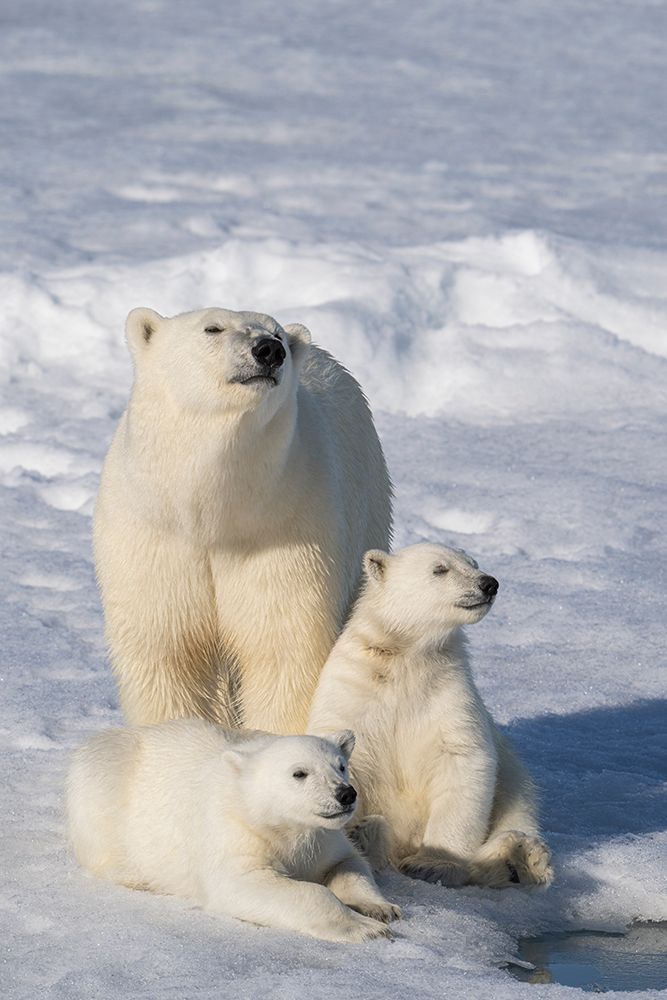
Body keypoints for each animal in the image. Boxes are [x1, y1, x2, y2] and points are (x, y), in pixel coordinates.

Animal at [66, 720, 401, 942]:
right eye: (299, 773)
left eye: (341, 765)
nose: (346, 794)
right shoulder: (234, 832)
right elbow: (243, 883)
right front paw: (366, 929)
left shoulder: (324, 836)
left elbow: (348, 864)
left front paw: (380, 909)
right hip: (106, 779)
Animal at [94, 307, 391, 733]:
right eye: (212, 328)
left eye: (277, 333)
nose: (269, 350)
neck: (212, 515)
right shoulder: (154, 540)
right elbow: (168, 655)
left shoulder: (286, 530)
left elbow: (281, 650)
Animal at [308, 543, 553, 889]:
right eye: (440, 569)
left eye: (473, 563)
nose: (489, 583)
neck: (405, 657)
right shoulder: (351, 692)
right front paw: (353, 833)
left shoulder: (448, 694)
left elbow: (463, 760)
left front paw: (432, 864)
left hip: (514, 780)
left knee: (519, 808)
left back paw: (519, 860)